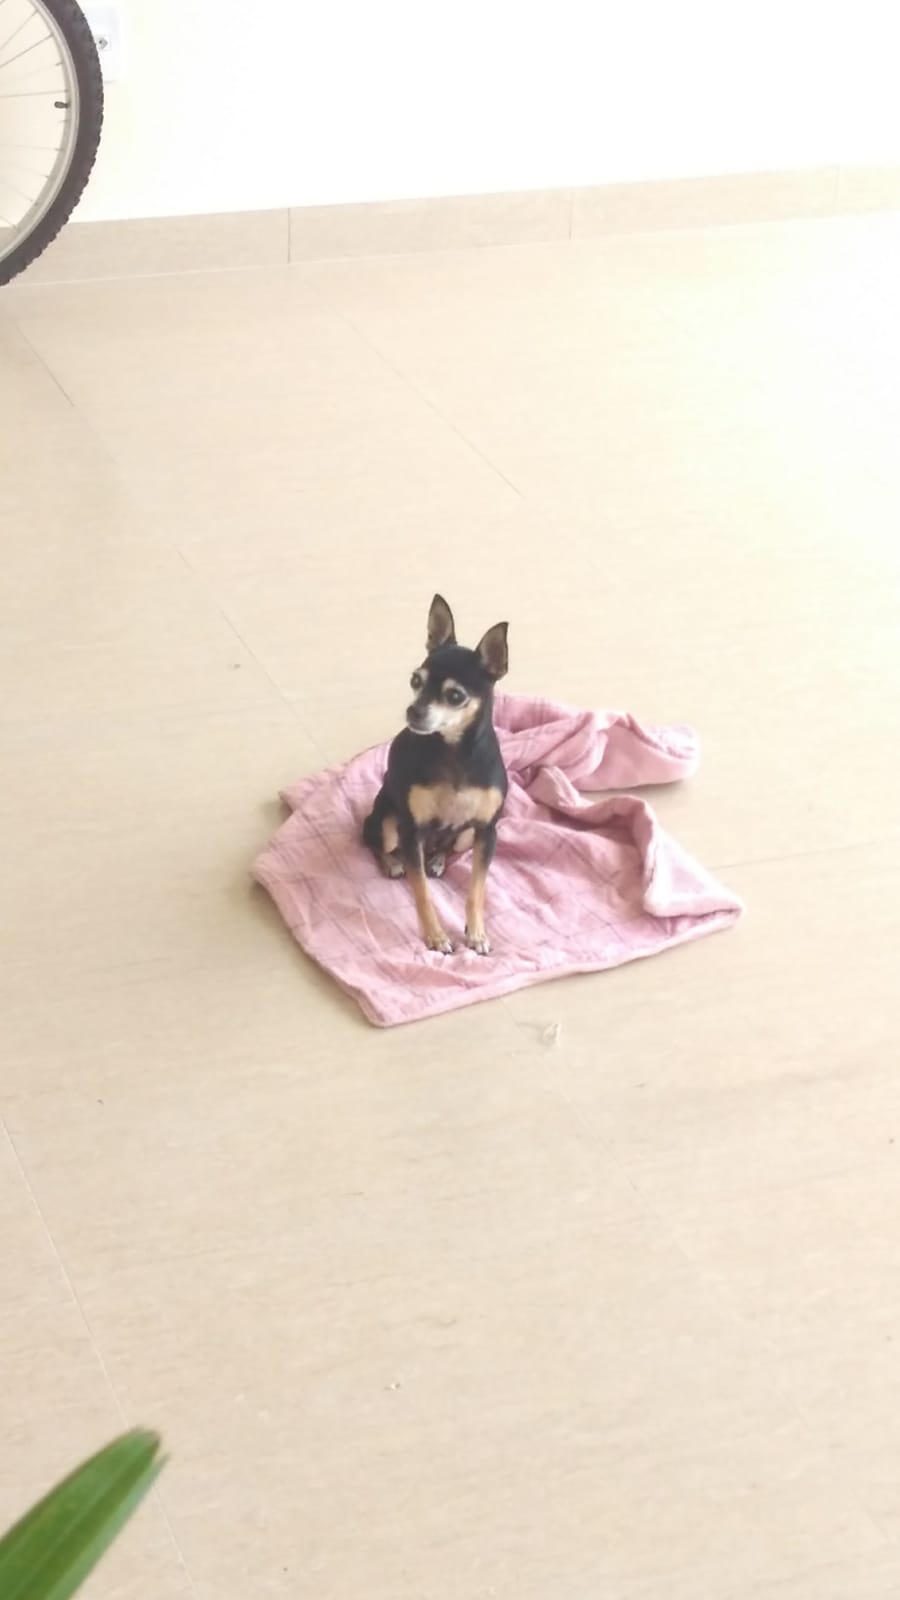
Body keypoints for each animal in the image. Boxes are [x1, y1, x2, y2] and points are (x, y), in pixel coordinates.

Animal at [362, 595, 509, 955]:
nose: (413, 711)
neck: (454, 752)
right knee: (376, 843)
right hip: (387, 824)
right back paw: (393, 863)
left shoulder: (487, 832)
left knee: (447, 846)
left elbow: (476, 891)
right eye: (416, 681)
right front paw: (436, 936)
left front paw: (477, 934)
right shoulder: (410, 829)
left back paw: (439, 860)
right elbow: (422, 892)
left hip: (465, 836)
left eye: (455, 695)